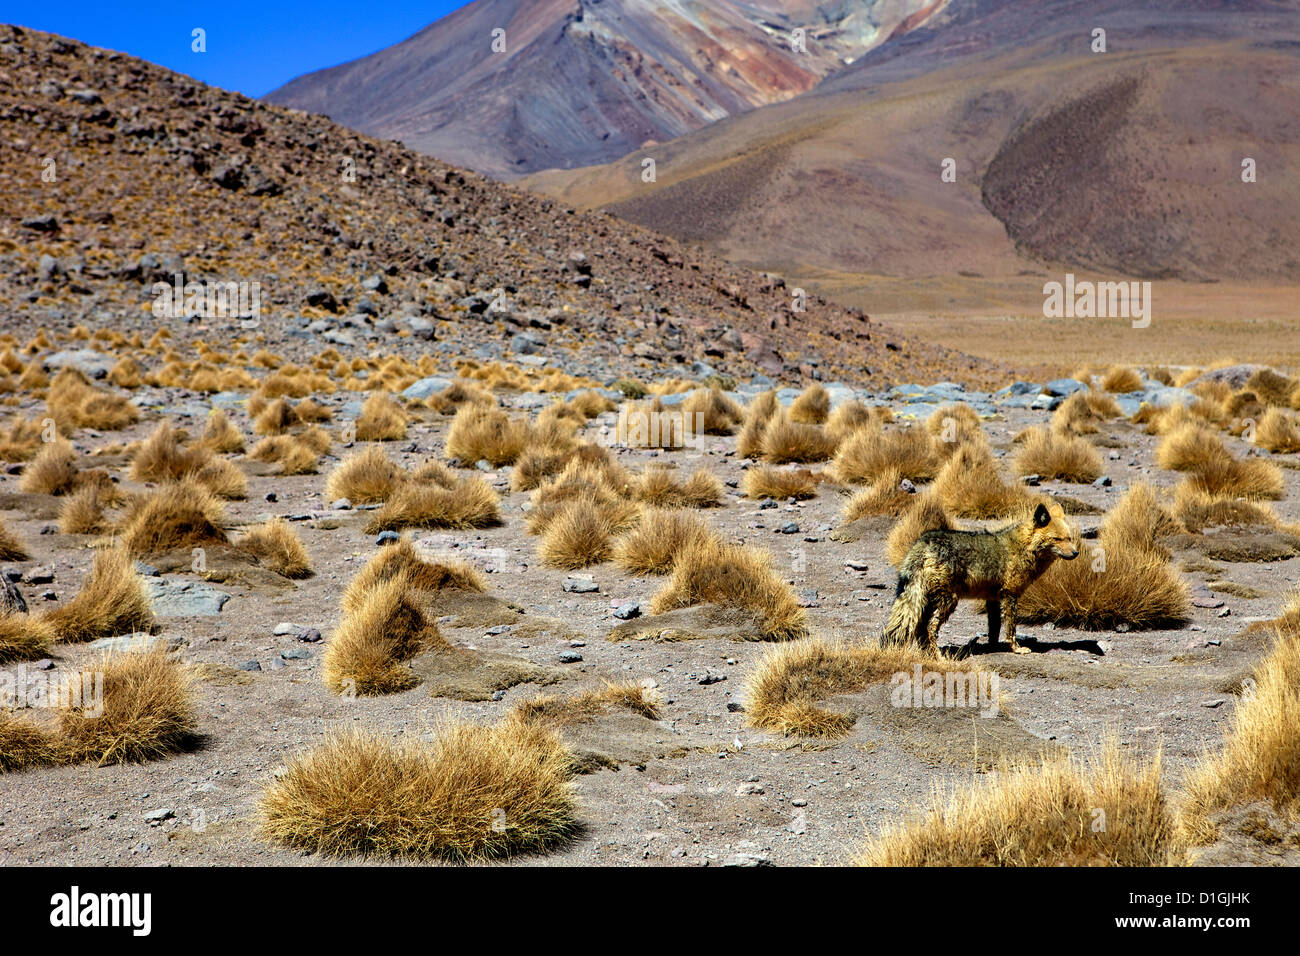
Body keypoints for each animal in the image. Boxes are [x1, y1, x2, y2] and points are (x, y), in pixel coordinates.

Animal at [882, 500, 1079, 654]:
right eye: (1057, 539)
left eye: (1069, 538)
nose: (1076, 553)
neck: (1025, 547)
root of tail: (924, 541)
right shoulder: (1010, 595)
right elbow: (1011, 627)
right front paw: (1016, 649)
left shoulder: (993, 598)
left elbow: (994, 629)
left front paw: (993, 647)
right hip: (948, 600)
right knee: (929, 629)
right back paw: (938, 657)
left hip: (927, 601)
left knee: (919, 630)